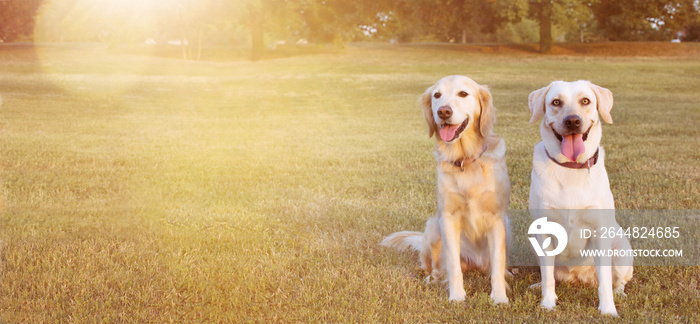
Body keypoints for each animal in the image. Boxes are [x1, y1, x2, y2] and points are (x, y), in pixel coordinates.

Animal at [380, 75, 512, 304]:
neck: (466, 160)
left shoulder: (497, 218)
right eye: (437, 95)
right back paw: (433, 278)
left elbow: (497, 264)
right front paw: (457, 296)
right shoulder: (448, 218)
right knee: (435, 267)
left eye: (463, 93)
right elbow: (453, 265)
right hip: (434, 226)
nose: (443, 112)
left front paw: (499, 297)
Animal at [532, 80, 636, 316]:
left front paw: (608, 310)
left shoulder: (599, 233)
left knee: (618, 281)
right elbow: (548, 277)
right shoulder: (545, 233)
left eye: (585, 101)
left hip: (622, 252)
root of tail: (579, 278)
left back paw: (619, 294)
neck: (570, 167)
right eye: (556, 102)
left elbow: (605, 283)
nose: (572, 121)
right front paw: (548, 303)